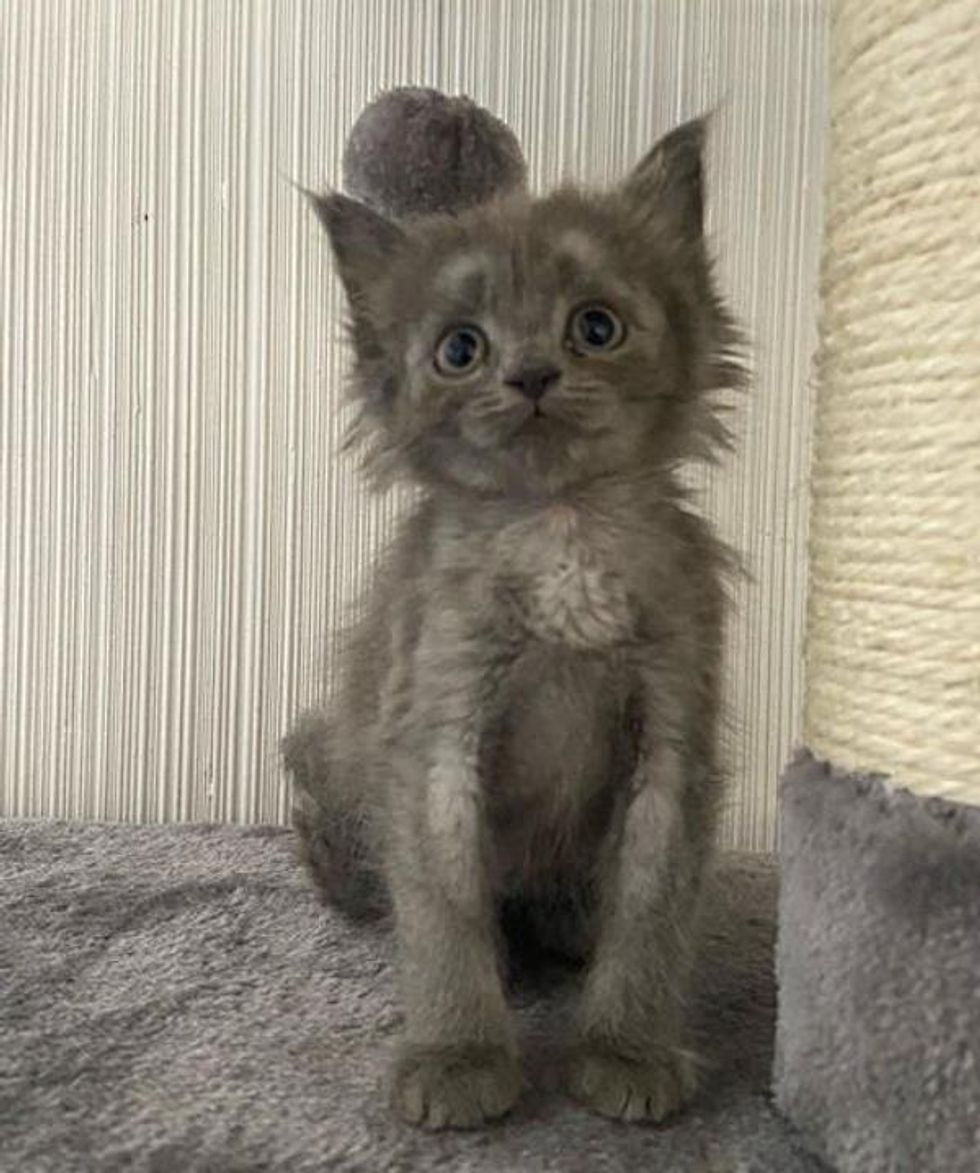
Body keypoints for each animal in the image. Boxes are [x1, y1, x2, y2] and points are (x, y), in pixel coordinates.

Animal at [284, 119, 741, 1126]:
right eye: (461, 349)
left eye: (596, 327)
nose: (531, 375)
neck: (561, 530)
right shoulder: (436, 730)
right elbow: (445, 919)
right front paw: (458, 1055)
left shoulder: (673, 737)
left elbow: (651, 916)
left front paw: (625, 1048)